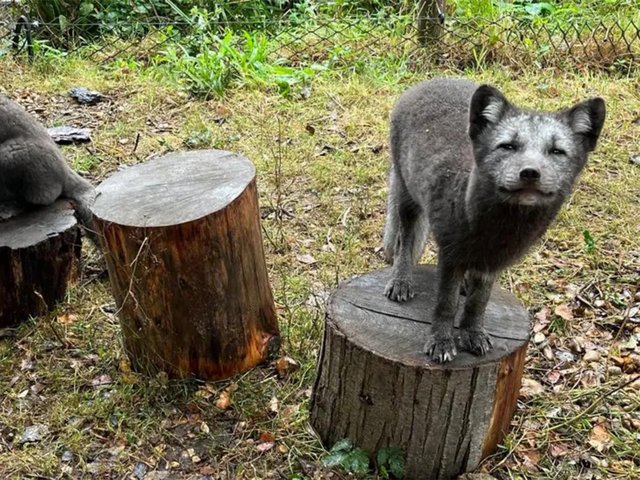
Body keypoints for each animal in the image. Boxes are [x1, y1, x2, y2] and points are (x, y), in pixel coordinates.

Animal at [382, 79, 608, 362]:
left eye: (557, 151)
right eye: (508, 146)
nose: (530, 173)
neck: (497, 232)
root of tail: (430, 81)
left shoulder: (494, 264)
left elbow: (478, 303)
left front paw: (472, 333)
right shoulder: (450, 254)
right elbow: (446, 304)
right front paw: (442, 342)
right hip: (406, 199)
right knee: (404, 243)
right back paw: (401, 281)